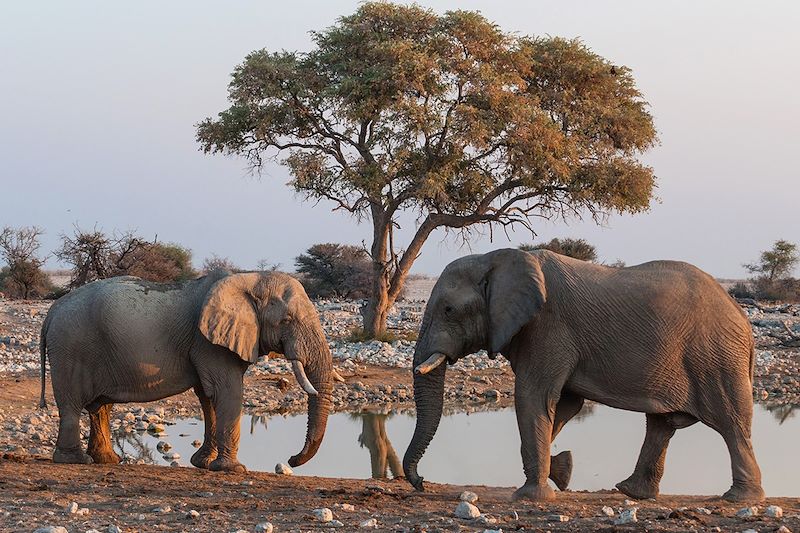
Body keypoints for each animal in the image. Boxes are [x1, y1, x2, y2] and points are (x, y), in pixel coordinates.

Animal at [39, 270, 334, 470]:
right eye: (287, 320)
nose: (291, 459)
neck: (250, 278)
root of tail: (51, 312)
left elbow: (208, 396)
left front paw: (204, 463)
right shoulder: (208, 343)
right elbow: (228, 392)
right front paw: (233, 469)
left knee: (100, 407)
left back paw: (108, 460)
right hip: (71, 348)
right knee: (72, 405)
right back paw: (76, 460)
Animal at [404, 247, 764, 500]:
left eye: (448, 310)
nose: (421, 483)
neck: (497, 257)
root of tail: (743, 318)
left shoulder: (548, 327)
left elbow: (533, 397)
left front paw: (531, 496)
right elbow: (565, 404)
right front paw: (562, 471)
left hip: (716, 357)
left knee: (731, 423)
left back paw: (739, 498)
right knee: (661, 425)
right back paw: (632, 492)